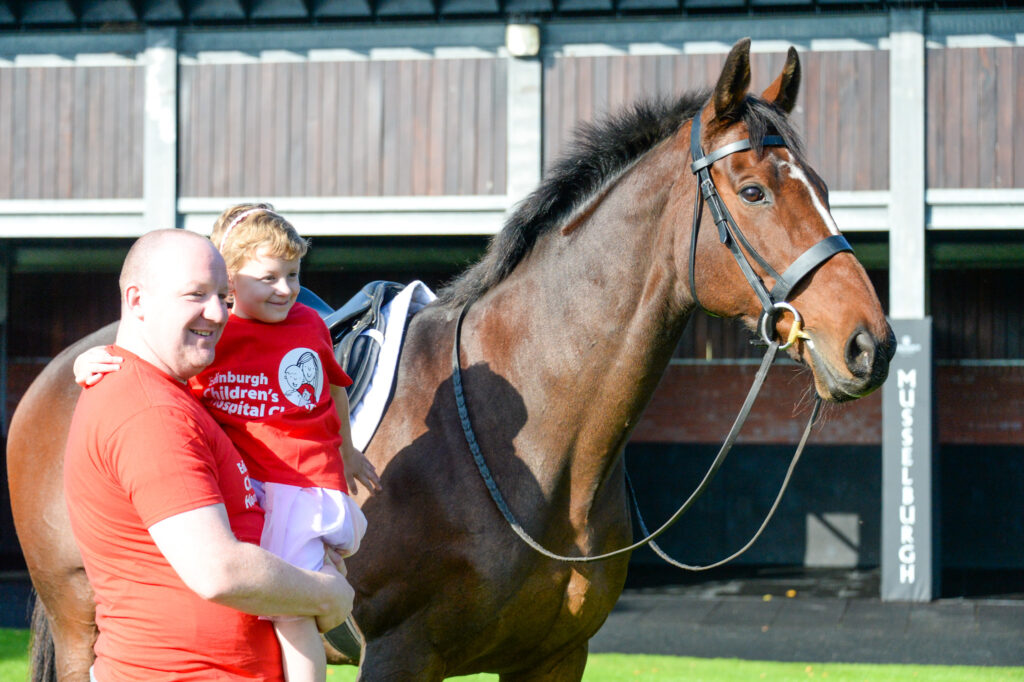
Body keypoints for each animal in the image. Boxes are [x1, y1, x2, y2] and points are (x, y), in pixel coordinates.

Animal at [8, 38, 892, 679]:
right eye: (753, 191)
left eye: (820, 185)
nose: (869, 342)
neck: (531, 440)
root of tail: (65, 371)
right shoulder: (400, 657)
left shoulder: (552, 659)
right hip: (87, 621)